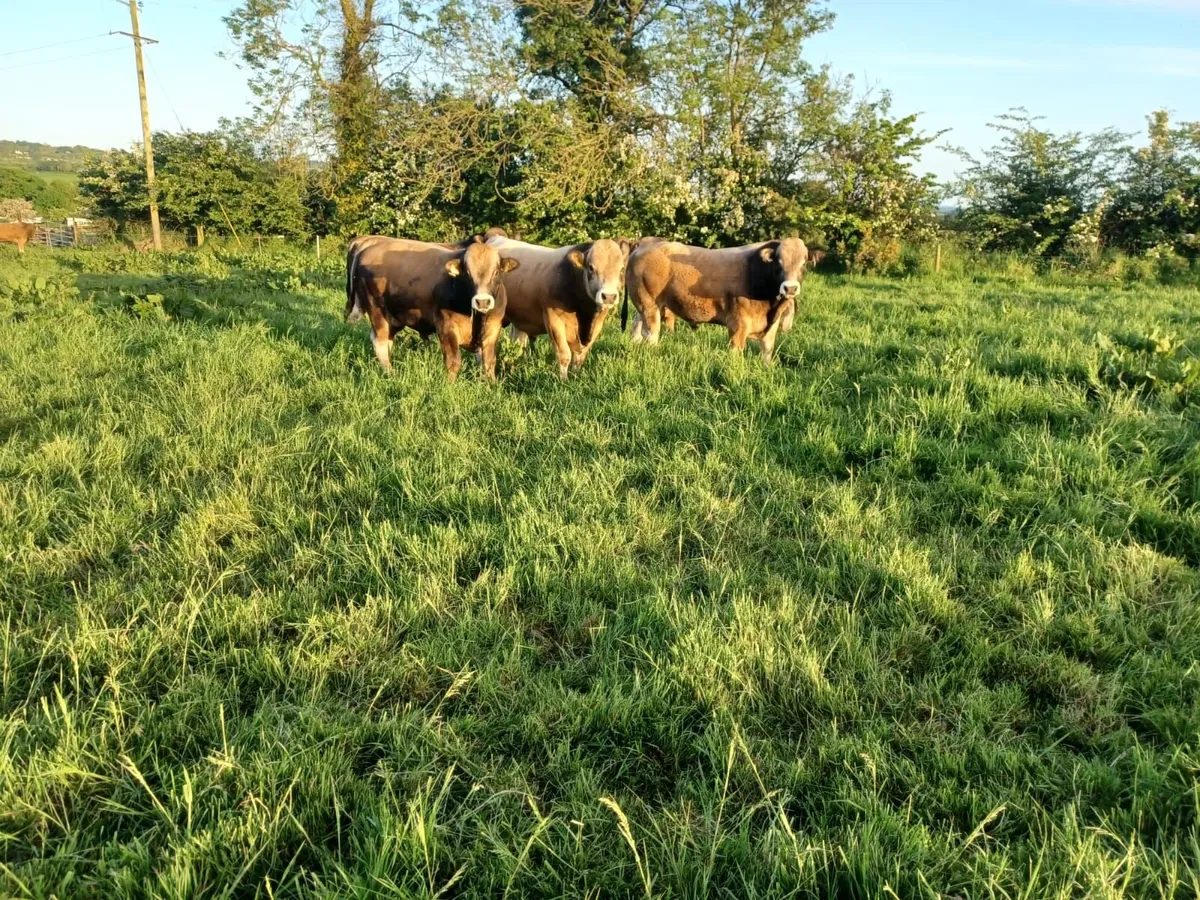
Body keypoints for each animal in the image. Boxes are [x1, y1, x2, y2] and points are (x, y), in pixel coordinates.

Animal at [346, 236, 519, 381]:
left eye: (495, 272)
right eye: (468, 274)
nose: (482, 302)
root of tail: (369, 246)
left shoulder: (493, 327)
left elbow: (489, 361)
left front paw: (491, 385)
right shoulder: (446, 326)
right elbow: (453, 361)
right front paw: (450, 386)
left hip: (393, 318)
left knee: (387, 341)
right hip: (377, 311)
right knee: (379, 343)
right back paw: (389, 372)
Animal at [487, 234, 630, 380]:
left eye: (622, 269)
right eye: (591, 267)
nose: (609, 296)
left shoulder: (597, 325)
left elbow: (579, 357)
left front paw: (576, 377)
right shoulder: (554, 320)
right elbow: (564, 355)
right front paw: (563, 380)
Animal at [625, 237, 808, 363]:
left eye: (804, 263)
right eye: (779, 262)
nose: (790, 288)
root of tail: (643, 247)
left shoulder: (771, 326)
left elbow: (767, 351)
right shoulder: (738, 325)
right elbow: (736, 353)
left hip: (643, 305)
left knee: (636, 326)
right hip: (649, 305)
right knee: (650, 334)